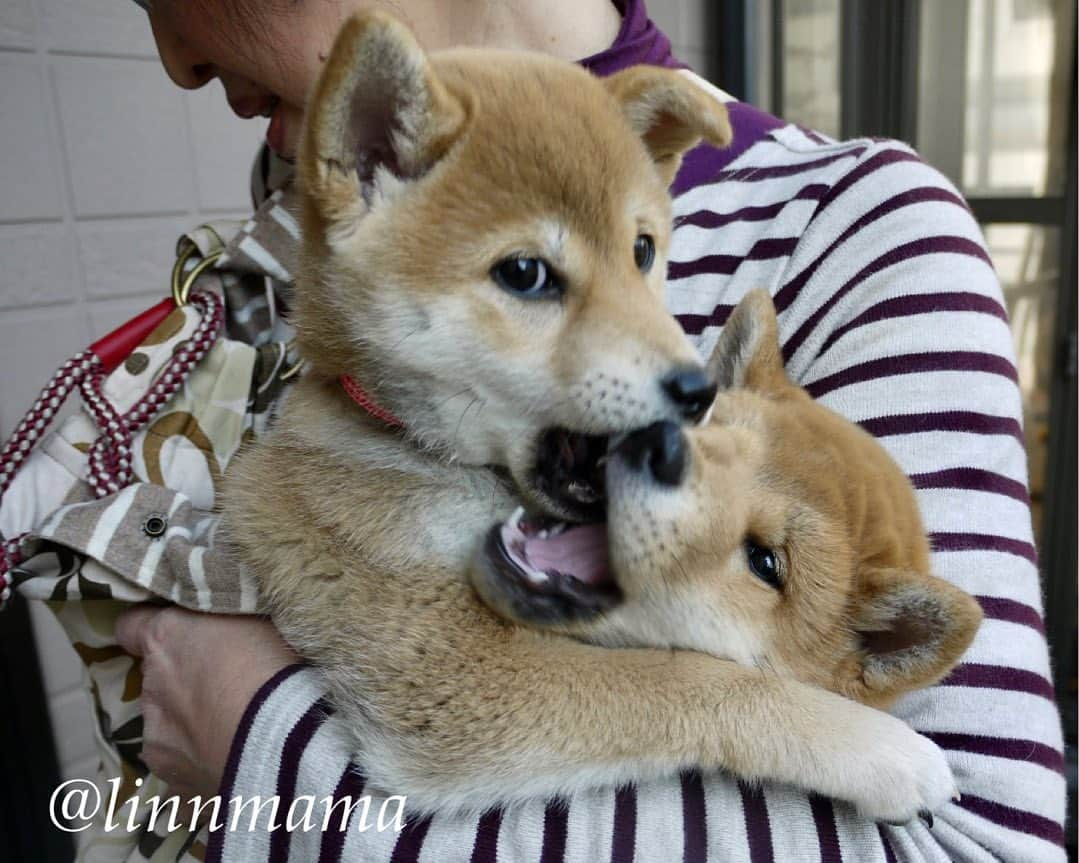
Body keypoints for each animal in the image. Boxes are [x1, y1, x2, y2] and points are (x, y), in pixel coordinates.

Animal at [223, 10, 975, 824]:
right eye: (525, 274)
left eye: (641, 250)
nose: (692, 391)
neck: (413, 444)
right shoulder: (439, 659)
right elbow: (685, 678)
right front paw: (879, 748)